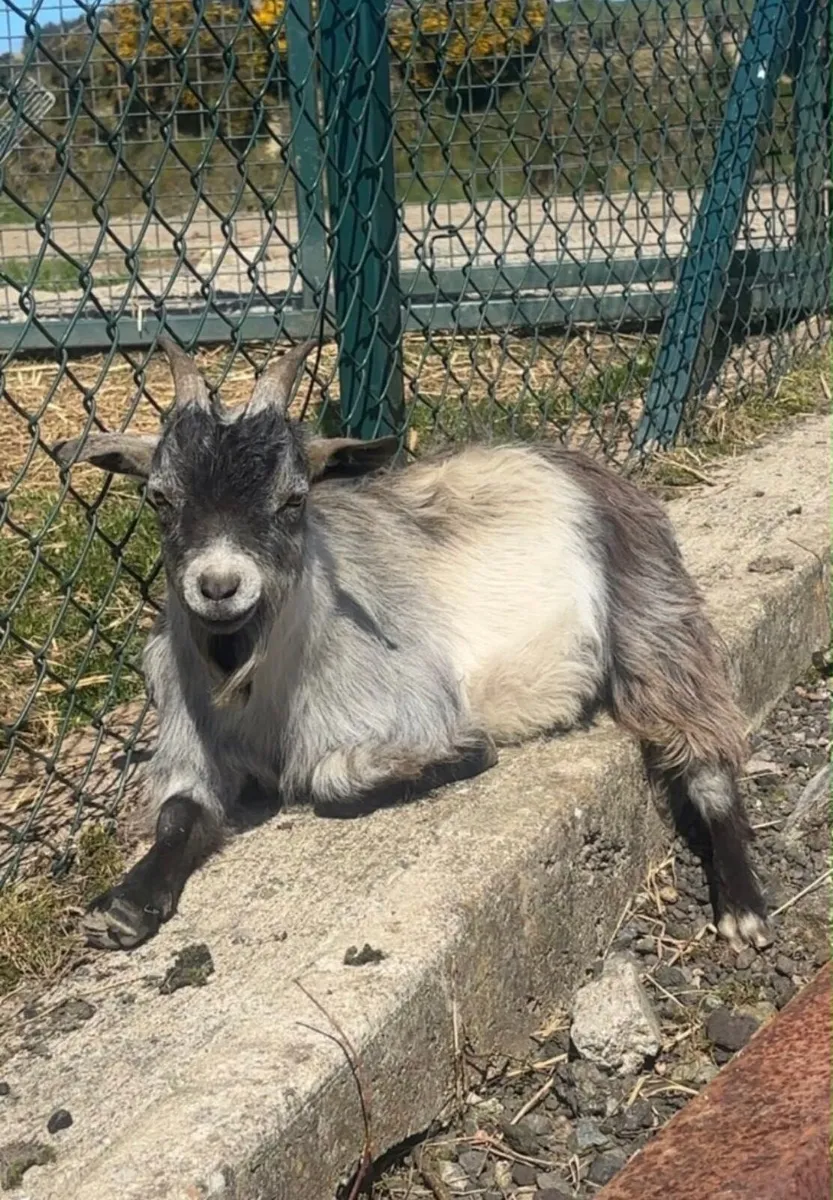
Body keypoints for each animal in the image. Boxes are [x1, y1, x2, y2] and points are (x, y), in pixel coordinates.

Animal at [54, 337, 770, 955]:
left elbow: (331, 778)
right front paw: (124, 905)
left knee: (705, 746)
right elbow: (180, 811)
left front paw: (464, 753)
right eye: (160, 498)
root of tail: (568, 458)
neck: (259, 686)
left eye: (293, 498)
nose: (219, 586)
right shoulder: (190, 735)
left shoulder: (408, 707)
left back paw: (742, 907)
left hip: (651, 609)